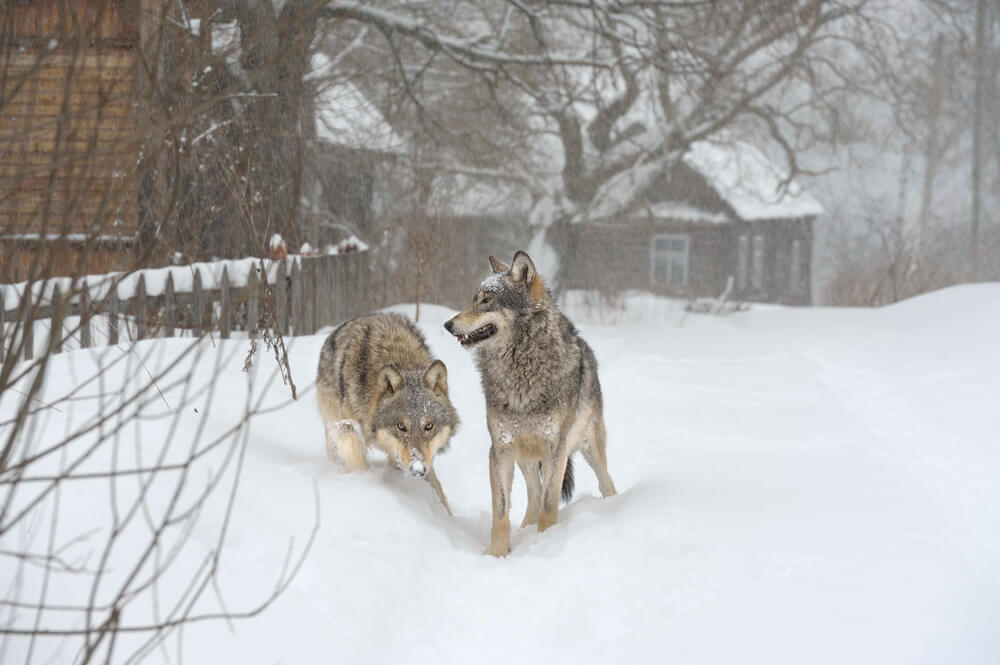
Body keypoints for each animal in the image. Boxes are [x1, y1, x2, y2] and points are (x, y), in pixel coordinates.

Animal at [314, 312, 458, 512]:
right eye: (401, 426)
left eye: (429, 426)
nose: (417, 470)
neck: (398, 356)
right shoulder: (349, 430)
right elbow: (358, 464)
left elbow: (437, 489)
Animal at [446, 252, 616, 552]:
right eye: (474, 299)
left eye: (487, 300)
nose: (448, 325)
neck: (520, 372)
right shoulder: (500, 448)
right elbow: (501, 512)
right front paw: (497, 554)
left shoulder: (555, 448)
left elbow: (549, 507)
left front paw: (546, 544)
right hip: (525, 458)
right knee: (533, 496)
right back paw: (525, 531)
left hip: (588, 449)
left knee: (606, 483)